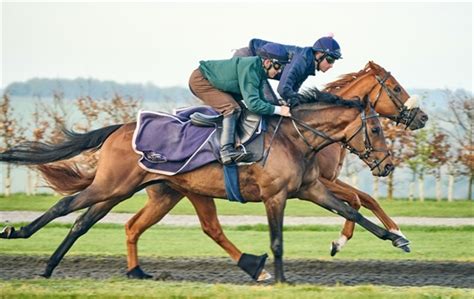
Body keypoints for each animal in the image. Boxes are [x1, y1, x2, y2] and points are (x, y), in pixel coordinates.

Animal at [1, 94, 406, 284]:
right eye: (375, 129)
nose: (387, 165)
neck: (294, 138)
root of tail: (119, 128)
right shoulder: (275, 196)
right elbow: (277, 240)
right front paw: (281, 279)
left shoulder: (309, 190)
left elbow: (351, 209)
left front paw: (396, 238)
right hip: (113, 184)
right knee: (67, 205)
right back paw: (18, 234)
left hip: (140, 191)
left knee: (85, 222)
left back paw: (58, 267)